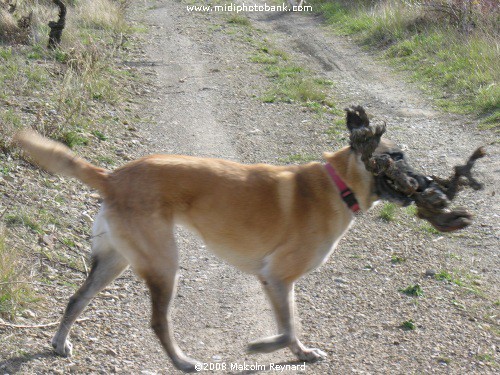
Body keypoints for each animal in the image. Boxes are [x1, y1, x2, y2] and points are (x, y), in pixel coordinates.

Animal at [15, 106, 430, 374]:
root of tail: (112, 177)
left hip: (114, 261)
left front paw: (300, 353)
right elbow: (288, 327)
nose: (426, 183)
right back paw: (182, 362)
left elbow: (292, 326)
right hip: (164, 266)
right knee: (158, 322)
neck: (336, 182)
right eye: (396, 156)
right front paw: (264, 346)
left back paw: (59, 342)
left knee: (76, 299)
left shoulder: (279, 283)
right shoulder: (276, 278)